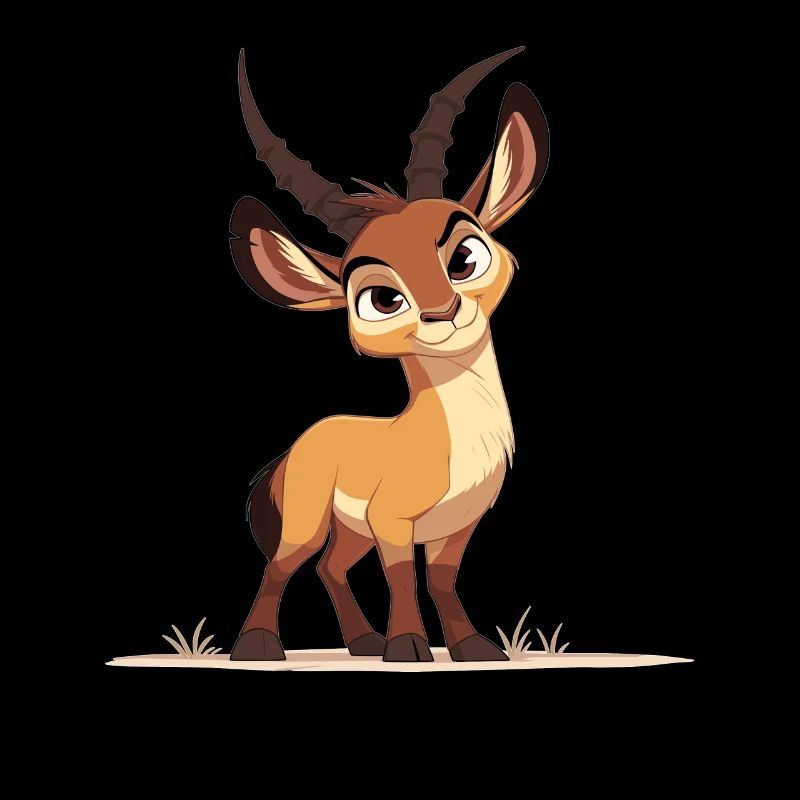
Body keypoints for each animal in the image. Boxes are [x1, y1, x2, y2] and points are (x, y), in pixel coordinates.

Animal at [229, 46, 549, 662]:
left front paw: (473, 647)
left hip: (350, 531)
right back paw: (257, 647)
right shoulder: (392, 523)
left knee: (330, 567)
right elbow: (402, 577)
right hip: (310, 521)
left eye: (465, 255)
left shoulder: (457, 528)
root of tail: (302, 441)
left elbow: (442, 580)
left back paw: (360, 642)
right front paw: (406, 646)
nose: (443, 312)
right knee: (283, 565)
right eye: (381, 299)